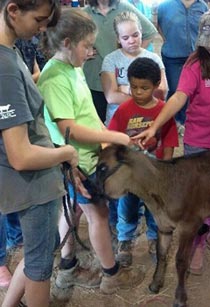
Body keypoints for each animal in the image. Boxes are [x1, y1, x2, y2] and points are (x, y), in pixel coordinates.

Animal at [95, 146, 210, 307]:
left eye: (103, 167)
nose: (91, 189)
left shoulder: (189, 225)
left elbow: (181, 261)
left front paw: (180, 298)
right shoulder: (163, 225)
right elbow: (161, 253)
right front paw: (155, 284)